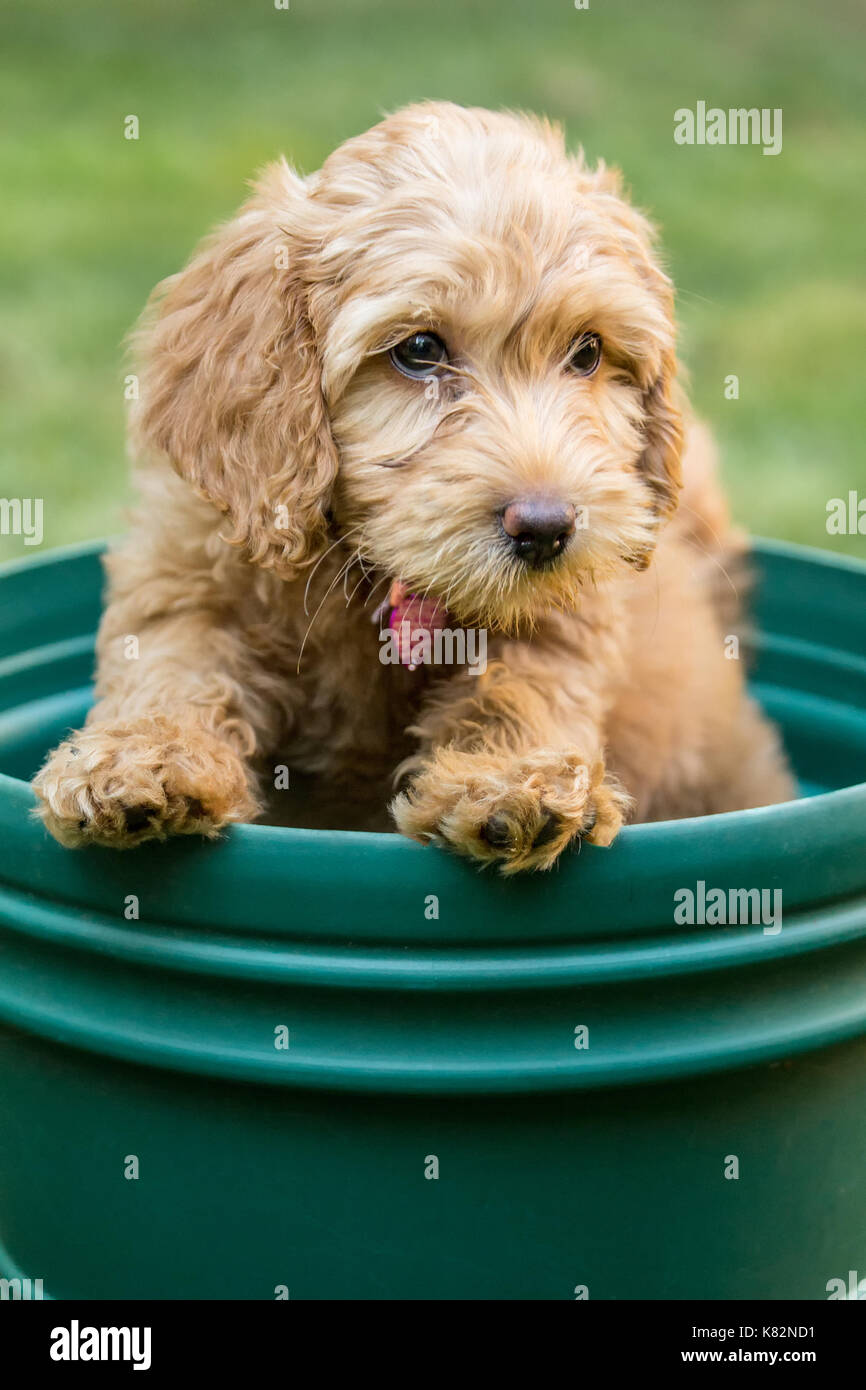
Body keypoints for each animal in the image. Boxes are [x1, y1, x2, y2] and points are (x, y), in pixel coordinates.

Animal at [32, 105, 795, 867]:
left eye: (588, 352)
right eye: (420, 350)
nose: (546, 529)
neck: (367, 571)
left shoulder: (565, 613)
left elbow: (522, 683)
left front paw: (512, 780)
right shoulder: (192, 564)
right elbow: (173, 658)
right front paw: (141, 761)